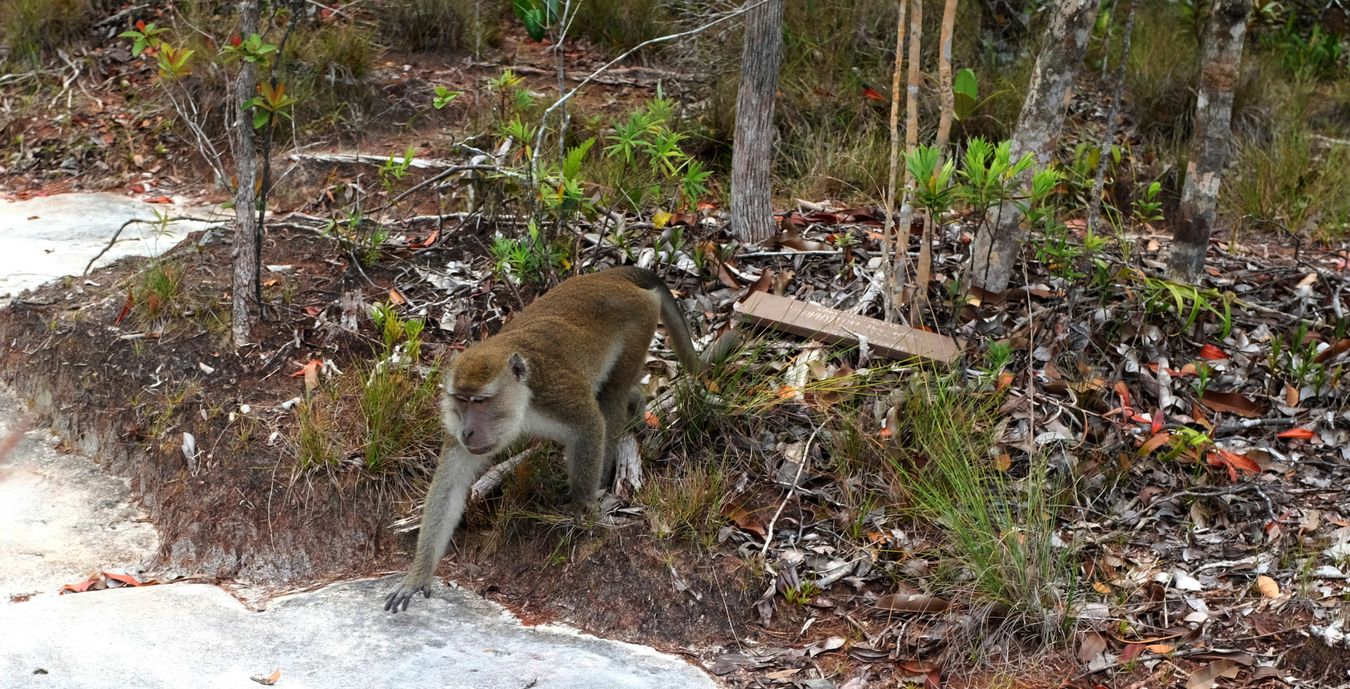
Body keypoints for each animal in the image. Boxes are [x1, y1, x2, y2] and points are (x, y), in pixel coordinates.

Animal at [380, 266, 696, 610]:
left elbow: (590, 425)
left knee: (611, 397)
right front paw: (418, 574)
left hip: (641, 320)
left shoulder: (555, 395)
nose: (468, 430)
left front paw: (583, 506)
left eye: (481, 401)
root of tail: (614, 276)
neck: (522, 401)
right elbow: (450, 490)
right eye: (461, 401)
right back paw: (637, 406)